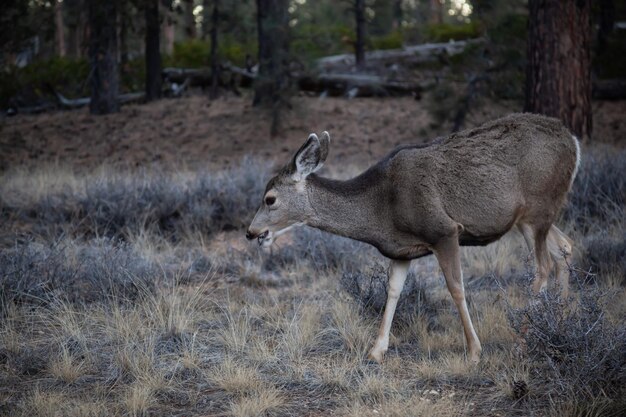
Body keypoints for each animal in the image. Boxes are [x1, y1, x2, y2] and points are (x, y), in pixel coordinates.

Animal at [244, 112, 576, 362]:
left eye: (270, 199)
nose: (251, 232)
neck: (380, 209)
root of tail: (572, 141)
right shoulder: (401, 250)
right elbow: (392, 291)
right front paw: (376, 350)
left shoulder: (443, 230)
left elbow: (456, 288)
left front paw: (474, 350)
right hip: (531, 215)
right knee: (565, 248)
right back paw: (558, 326)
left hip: (538, 206)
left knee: (543, 266)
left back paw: (522, 341)